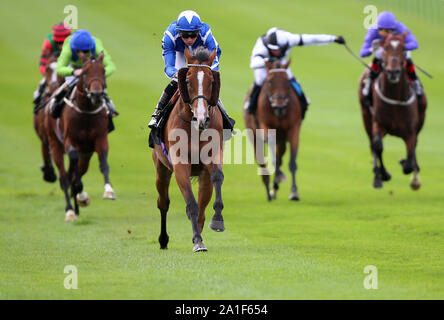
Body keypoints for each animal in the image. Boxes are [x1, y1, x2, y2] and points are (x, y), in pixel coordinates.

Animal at [45, 52, 116, 222]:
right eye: (84, 72)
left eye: (103, 71)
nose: (96, 94)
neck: (85, 111)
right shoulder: (70, 141)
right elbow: (72, 166)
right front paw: (81, 196)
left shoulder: (100, 139)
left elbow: (103, 163)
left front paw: (108, 190)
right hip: (55, 143)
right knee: (64, 177)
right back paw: (70, 210)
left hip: (86, 153)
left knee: (77, 171)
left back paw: (77, 205)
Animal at [153, 47, 225, 252]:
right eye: (187, 81)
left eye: (211, 81)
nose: (202, 117)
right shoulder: (179, 164)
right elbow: (191, 204)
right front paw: (198, 241)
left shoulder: (213, 155)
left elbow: (217, 176)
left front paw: (217, 221)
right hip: (161, 167)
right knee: (163, 203)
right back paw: (163, 240)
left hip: (202, 175)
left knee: (203, 204)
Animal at [243, 58, 302, 201]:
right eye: (269, 82)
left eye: (287, 81)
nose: (279, 105)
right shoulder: (266, 126)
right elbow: (273, 158)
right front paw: (278, 178)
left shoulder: (294, 129)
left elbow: (292, 162)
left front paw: (294, 192)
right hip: (253, 134)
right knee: (261, 159)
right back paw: (268, 188)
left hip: (281, 139)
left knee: (280, 156)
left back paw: (274, 187)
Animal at [360, 33, 428, 190]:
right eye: (385, 47)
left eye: (403, 48)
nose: (393, 71)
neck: (395, 98)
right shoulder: (378, 123)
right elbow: (378, 146)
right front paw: (383, 175)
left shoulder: (410, 130)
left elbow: (410, 157)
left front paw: (412, 174)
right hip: (366, 116)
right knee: (372, 144)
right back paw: (377, 177)